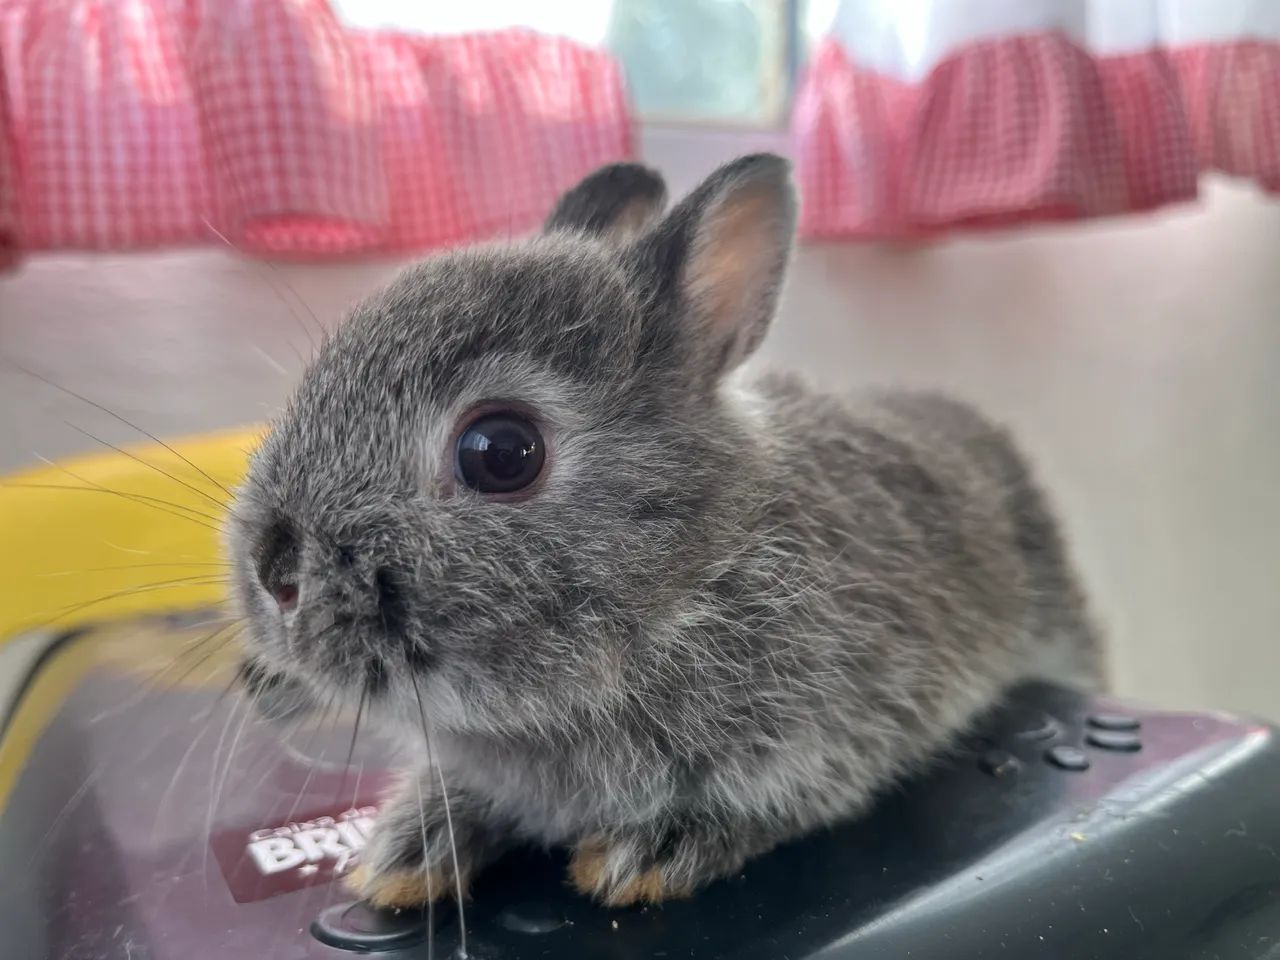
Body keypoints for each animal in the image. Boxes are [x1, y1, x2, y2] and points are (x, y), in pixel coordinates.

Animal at [225, 153, 1103, 909]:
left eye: (501, 452)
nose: (276, 577)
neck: (691, 579)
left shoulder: (834, 733)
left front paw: (645, 853)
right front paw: (406, 852)